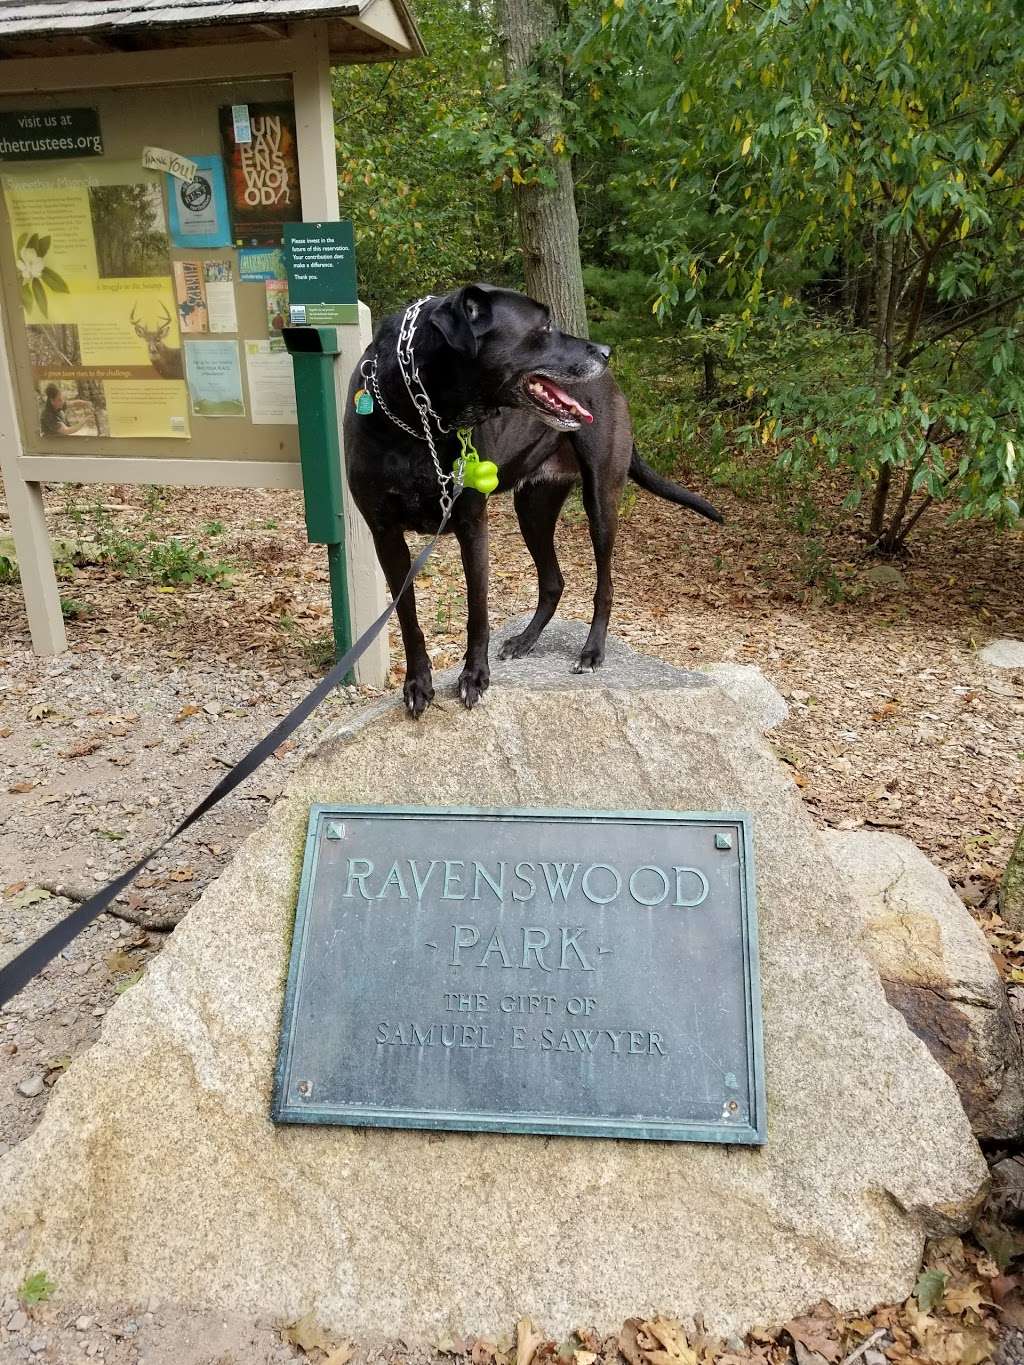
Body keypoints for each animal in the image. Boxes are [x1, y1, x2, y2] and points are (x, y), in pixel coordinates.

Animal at [345, 283, 720, 720]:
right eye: (543, 327)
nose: (606, 351)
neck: (418, 417)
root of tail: (614, 385)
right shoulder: (385, 535)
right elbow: (407, 618)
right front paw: (417, 684)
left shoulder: (472, 525)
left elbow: (477, 612)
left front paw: (474, 677)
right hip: (533, 508)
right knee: (553, 580)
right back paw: (525, 640)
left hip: (600, 500)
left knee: (605, 583)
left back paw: (591, 652)